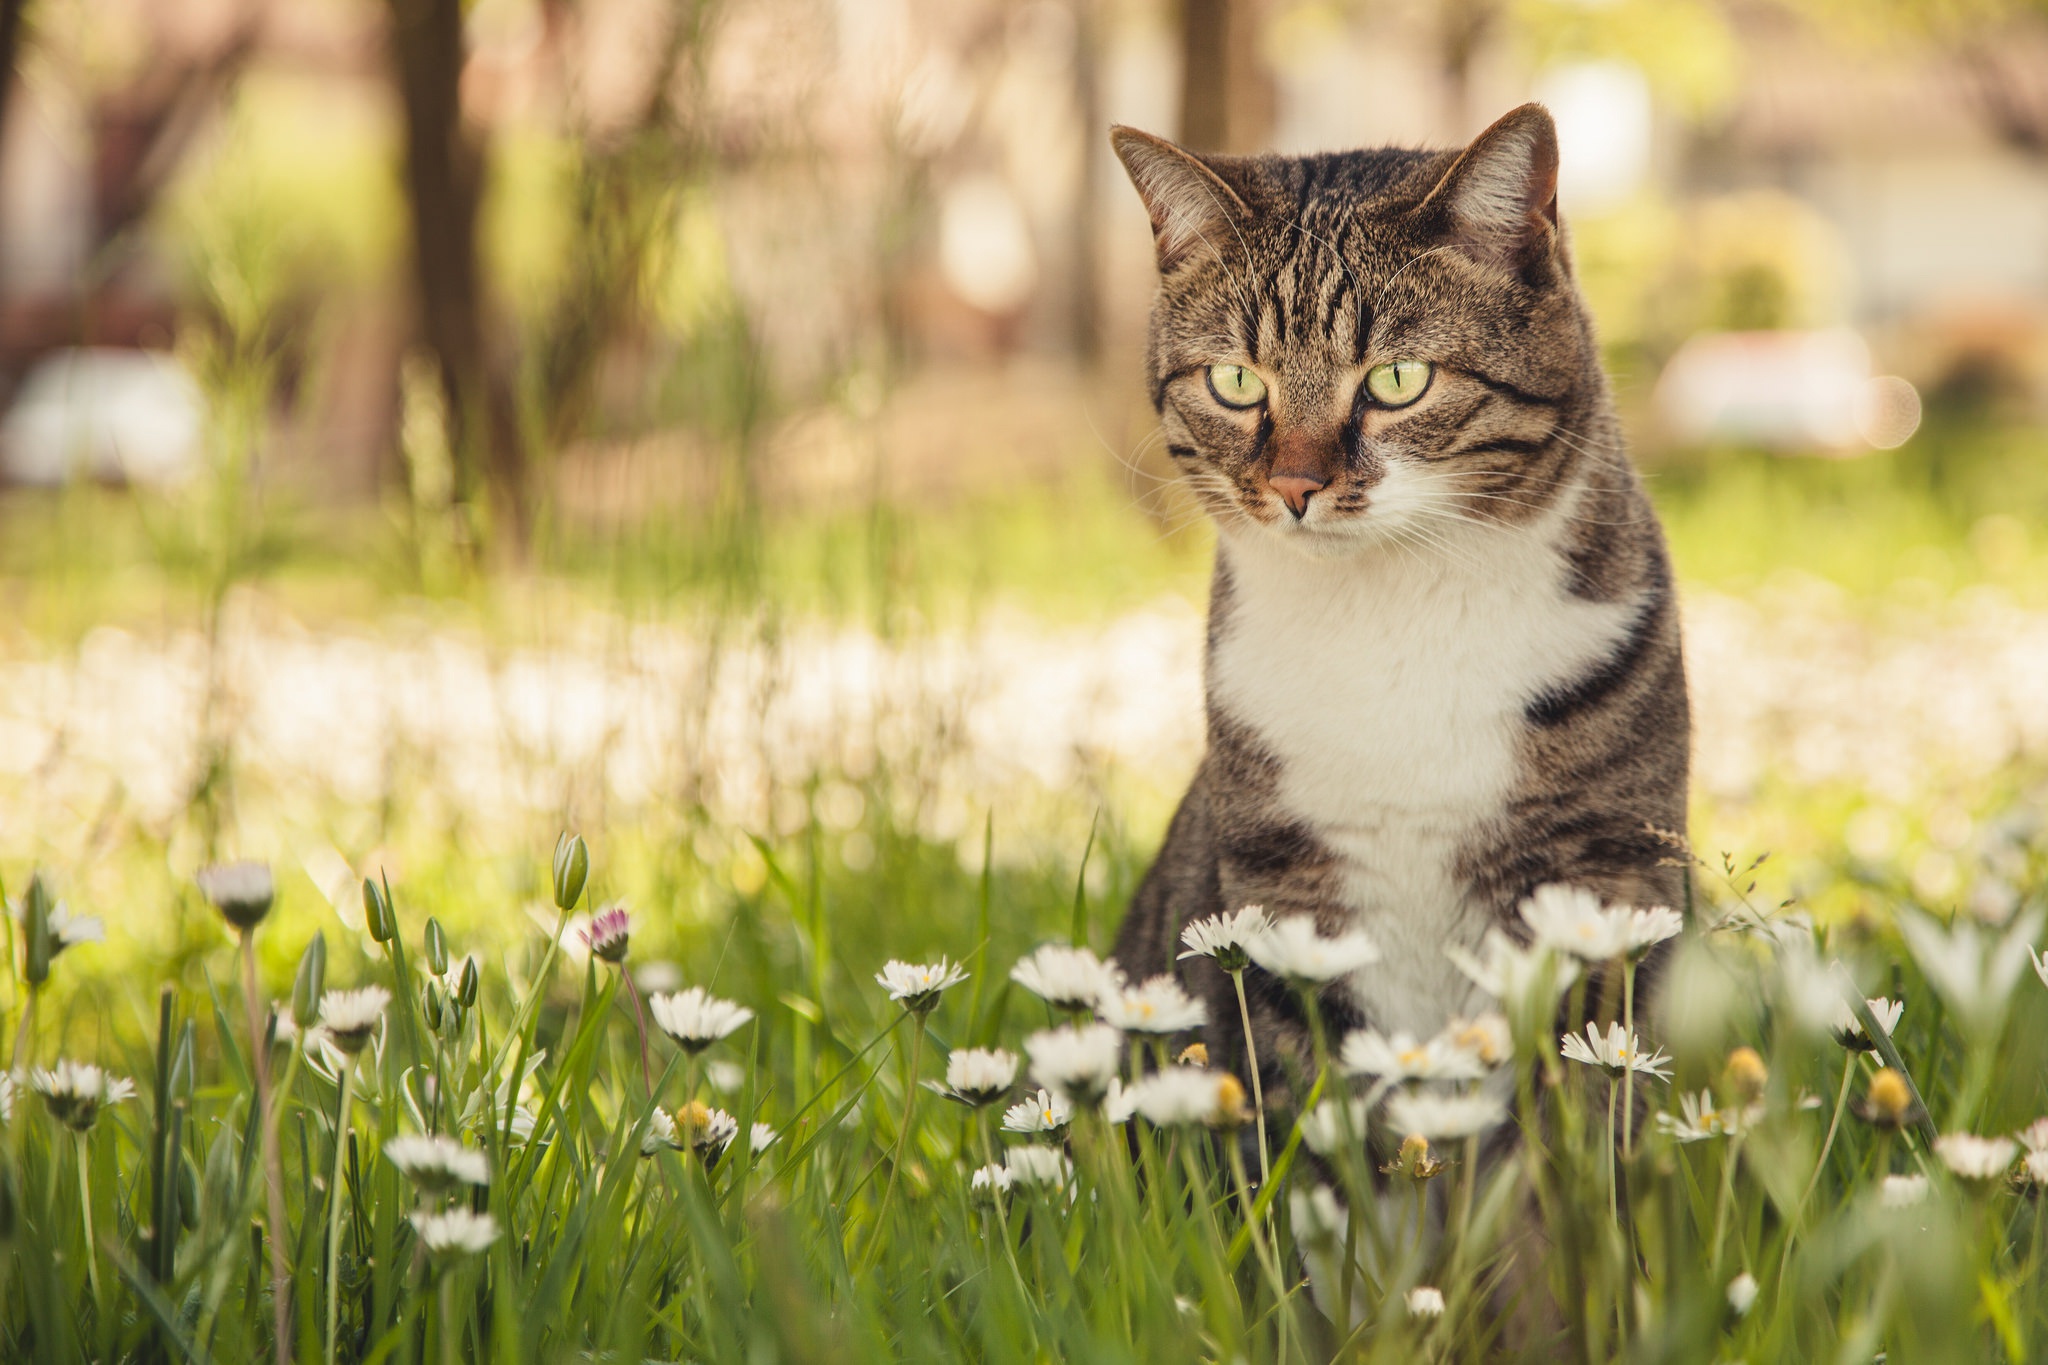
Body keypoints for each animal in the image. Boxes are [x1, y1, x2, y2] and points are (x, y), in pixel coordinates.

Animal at [1114, 106, 1687, 1146]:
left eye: (1398, 379)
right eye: (1234, 381)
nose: (1295, 486)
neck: (1392, 617)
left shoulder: (1605, 875)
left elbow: (1579, 1123)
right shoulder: (1285, 893)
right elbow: (1317, 1117)